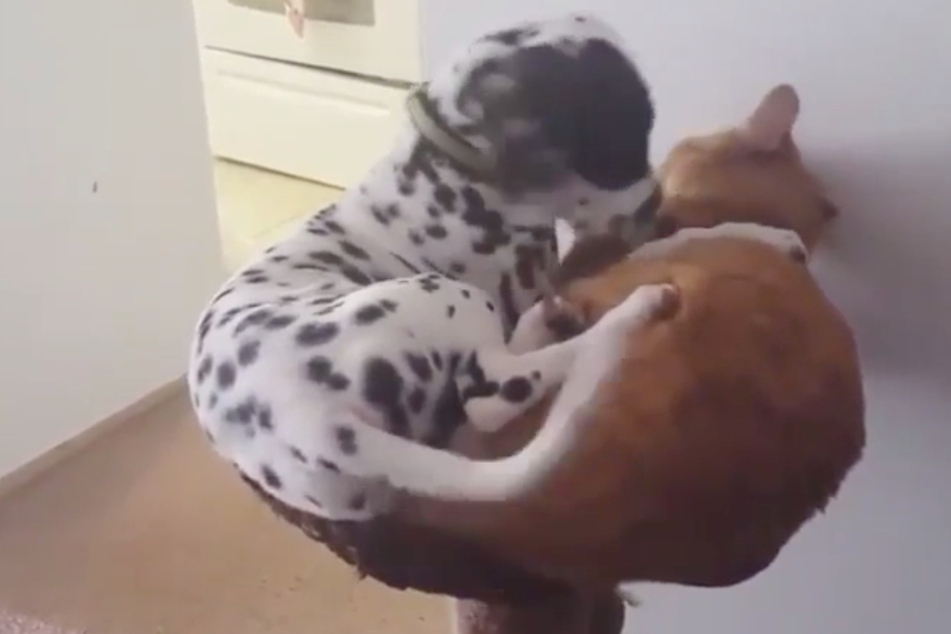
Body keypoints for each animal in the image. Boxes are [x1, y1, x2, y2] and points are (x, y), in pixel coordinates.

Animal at [188, 12, 812, 520]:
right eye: (624, 137)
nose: (655, 200)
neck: (450, 171)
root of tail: (311, 422)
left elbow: (678, 239)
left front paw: (763, 234)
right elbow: (659, 249)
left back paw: (549, 322)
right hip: (444, 294)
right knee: (493, 396)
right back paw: (624, 316)